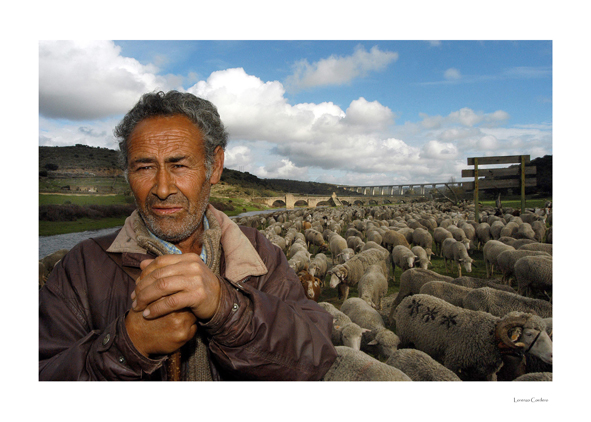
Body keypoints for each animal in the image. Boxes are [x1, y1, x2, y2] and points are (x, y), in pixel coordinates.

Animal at [394, 294, 556, 382]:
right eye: (529, 334)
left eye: (545, 333)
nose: (552, 355)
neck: (490, 336)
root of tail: (410, 298)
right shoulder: (453, 362)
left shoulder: (488, 372)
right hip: (404, 338)